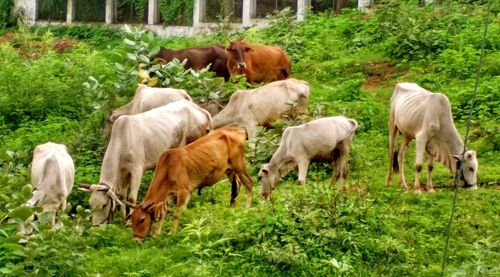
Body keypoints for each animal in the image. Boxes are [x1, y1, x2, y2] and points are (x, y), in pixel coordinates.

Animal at [79, 99, 211, 224]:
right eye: (90, 204)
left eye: (104, 205)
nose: (96, 228)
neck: (123, 140)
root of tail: (199, 109)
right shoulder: (123, 173)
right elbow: (122, 197)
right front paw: (123, 217)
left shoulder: (137, 169)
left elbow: (131, 198)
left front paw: (129, 221)